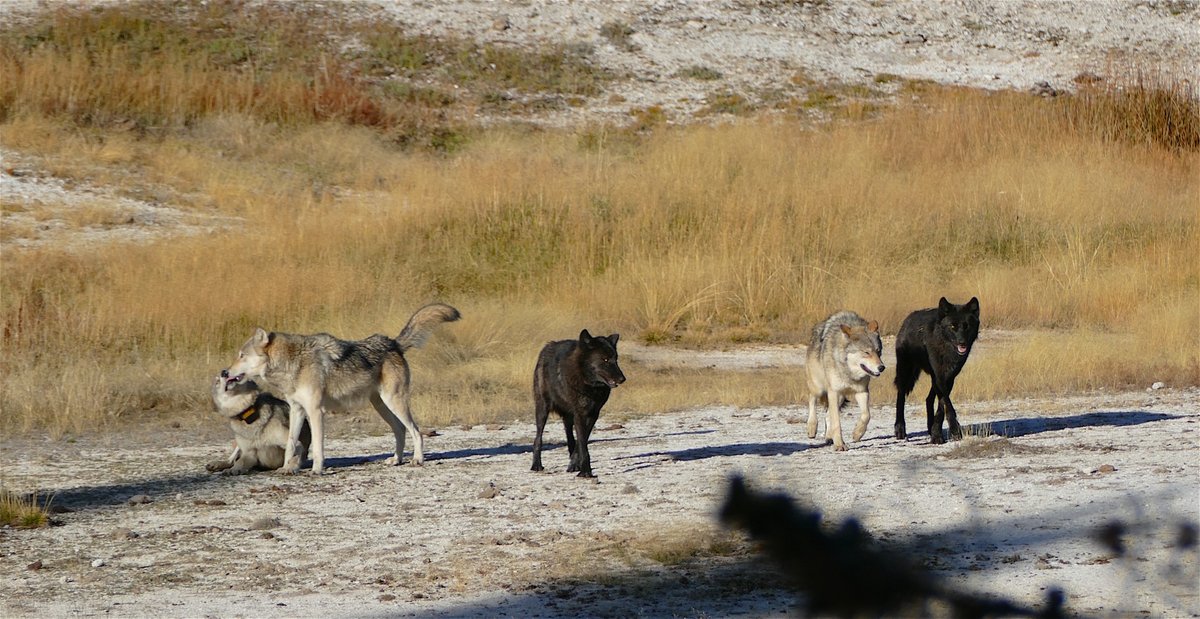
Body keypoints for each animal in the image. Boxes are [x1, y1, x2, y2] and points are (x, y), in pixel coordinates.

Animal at [220, 303, 458, 475]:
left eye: (241, 355)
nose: (224, 372)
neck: (293, 363)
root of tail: (393, 343)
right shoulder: (297, 410)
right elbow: (290, 444)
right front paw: (287, 468)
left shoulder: (316, 412)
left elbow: (317, 447)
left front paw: (316, 470)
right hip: (381, 406)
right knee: (400, 430)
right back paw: (396, 460)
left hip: (394, 402)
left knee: (416, 431)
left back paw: (417, 459)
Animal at [532, 328, 628, 479]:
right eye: (605, 359)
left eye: (616, 359)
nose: (622, 379)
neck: (590, 386)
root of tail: (547, 346)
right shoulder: (580, 414)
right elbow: (582, 443)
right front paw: (586, 471)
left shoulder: (593, 415)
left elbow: (581, 442)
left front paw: (576, 465)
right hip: (542, 409)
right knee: (538, 437)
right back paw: (536, 465)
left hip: (568, 416)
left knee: (570, 437)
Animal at [801, 311, 888, 451]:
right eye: (866, 352)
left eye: (878, 351)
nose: (882, 367)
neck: (849, 373)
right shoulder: (834, 392)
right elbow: (837, 422)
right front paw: (839, 445)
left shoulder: (862, 391)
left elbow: (866, 415)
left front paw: (857, 433)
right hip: (819, 388)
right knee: (812, 401)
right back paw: (812, 427)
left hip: (840, 397)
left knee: (828, 415)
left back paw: (829, 437)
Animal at [897, 297, 979, 441]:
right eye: (953, 326)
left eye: (966, 326)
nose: (962, 342)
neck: (946, 349)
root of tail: (908, 318)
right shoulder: (939, 377)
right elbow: (947, 403)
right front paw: (953, 430)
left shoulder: (949, 377)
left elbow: (942, 404)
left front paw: (937, 433)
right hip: (906, 372)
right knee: (900, 397)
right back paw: (900, 429)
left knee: (928, 399)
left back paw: (930, 427)